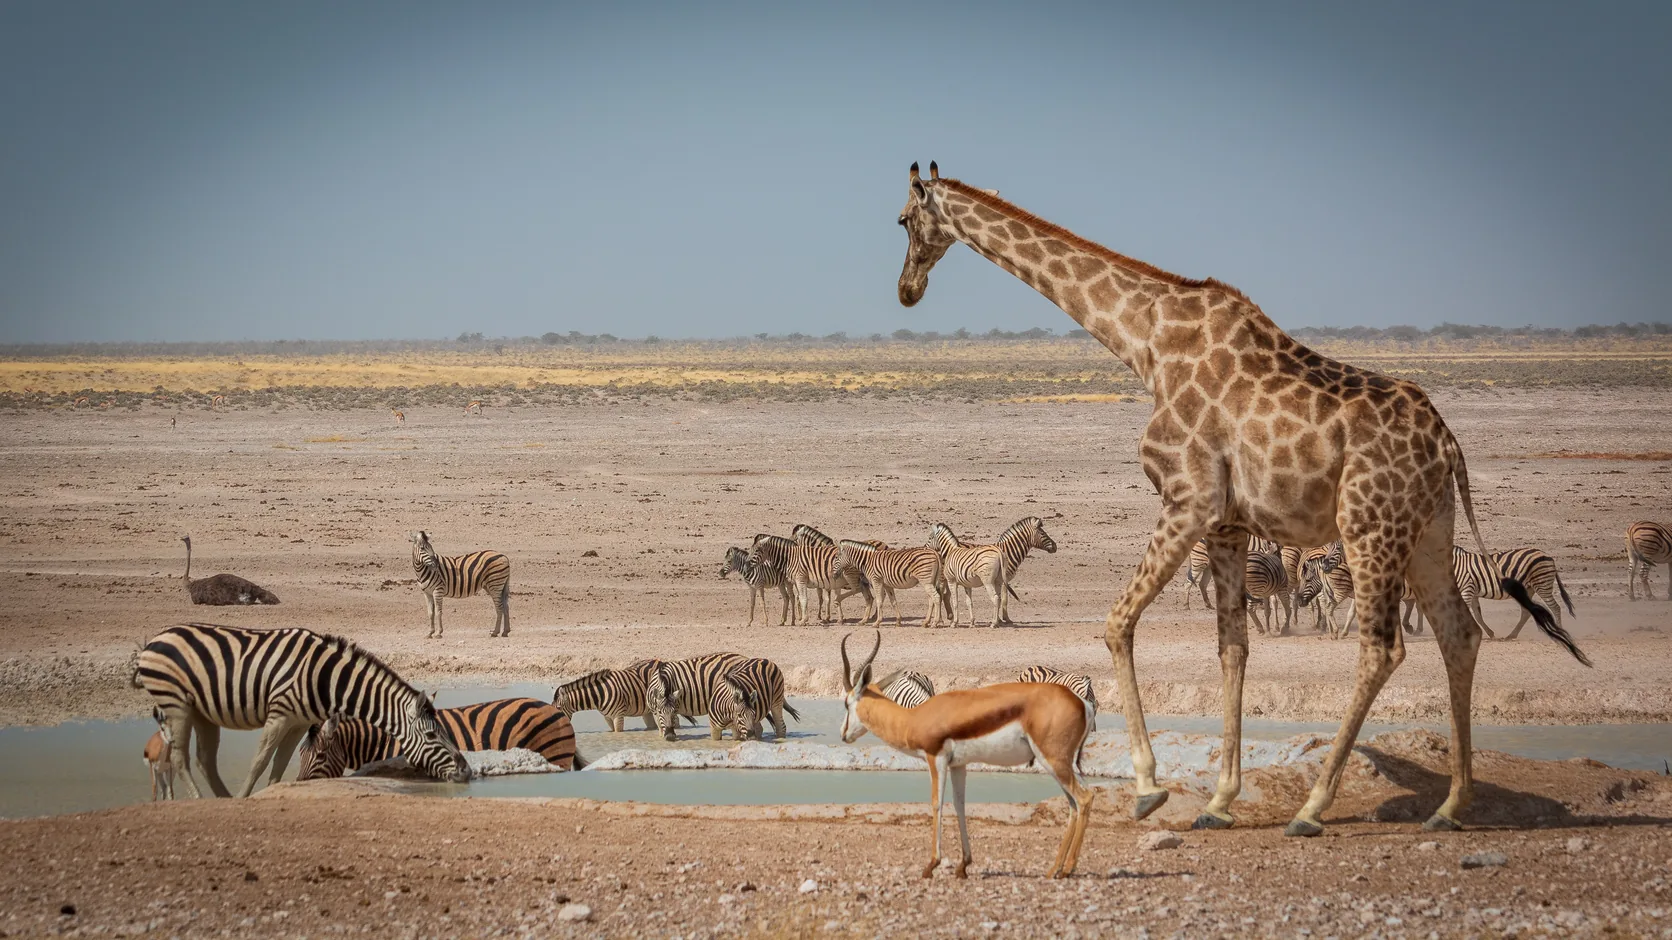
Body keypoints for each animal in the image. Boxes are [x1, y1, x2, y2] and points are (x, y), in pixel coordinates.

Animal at [132, 623, 468, 798]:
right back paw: (203, 800)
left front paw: (271, 792)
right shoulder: (279, 715)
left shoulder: (296, 723)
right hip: (176, 704)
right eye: (432, 736)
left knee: (205, 760)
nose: (466, 770)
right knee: (180, 758)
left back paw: (222, 799)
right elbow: (259, 761)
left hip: (202, 712)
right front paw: (245, 798)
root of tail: (155, 639)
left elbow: (279, 765)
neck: (327, 678)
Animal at [298, 697, 583, 779]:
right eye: (299, 755)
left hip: (554, 755)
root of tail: (555, 710)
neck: (382, 739)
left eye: (320, 755)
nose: (299, 783)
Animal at [894, 161, 1590, 837]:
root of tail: (1447, 442)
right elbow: (1232, 646)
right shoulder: (1227, 523)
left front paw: (1148, 788)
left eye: (902, 219)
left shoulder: (1188, 497)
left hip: (1370, 524)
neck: (1146, 344)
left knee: (1383, 647)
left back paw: (1314, 808)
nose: (906, 289)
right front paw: (1219, 800)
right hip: (1427, 530)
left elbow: (1119, 623)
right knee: (1458, 633)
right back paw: (1449, 806)